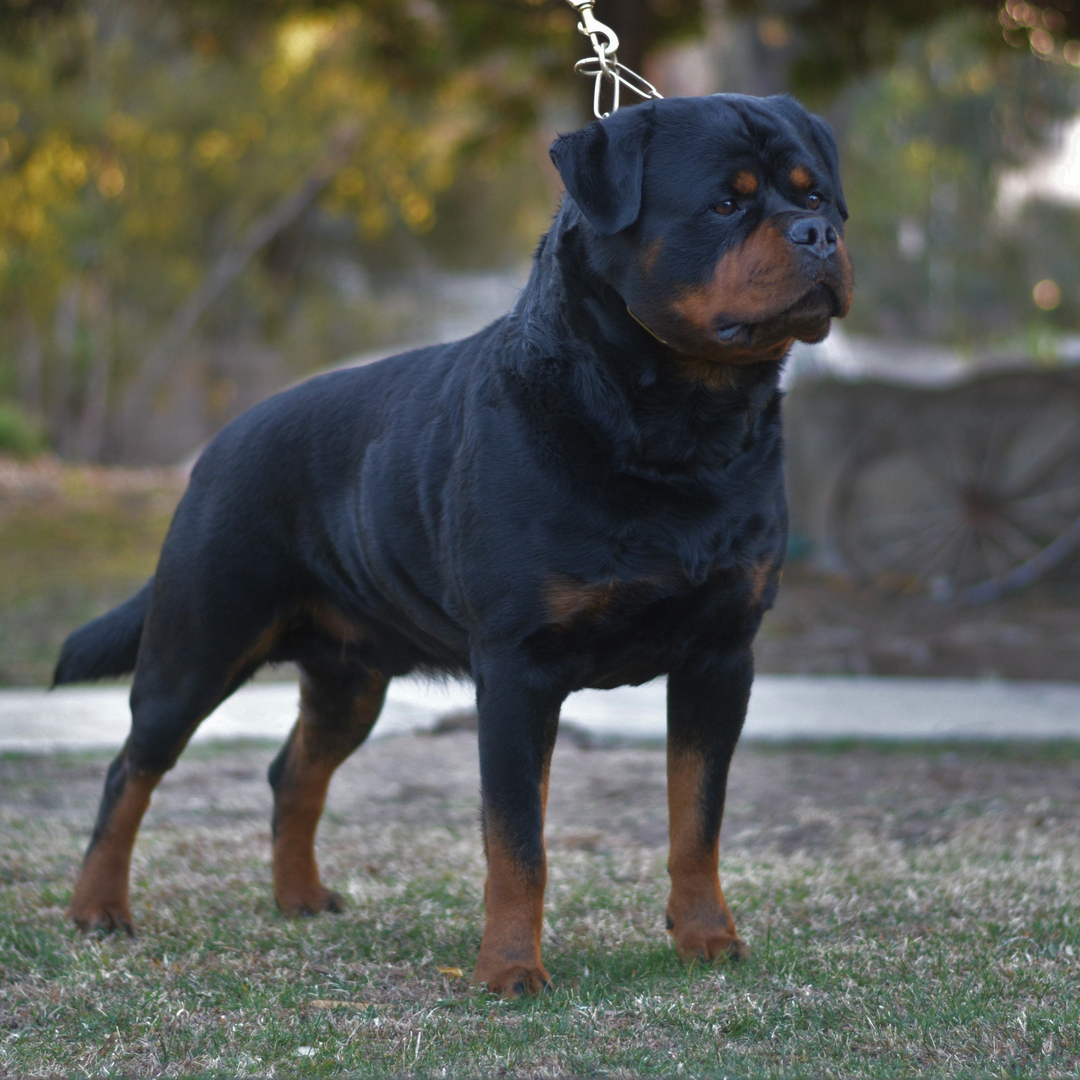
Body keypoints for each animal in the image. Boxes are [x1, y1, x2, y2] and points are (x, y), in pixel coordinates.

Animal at [54, 92, 851, 993]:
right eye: (724, 204)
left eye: (817, 196)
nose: (817, 235)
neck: (679, 429)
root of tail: (219, 443)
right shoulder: (516, 668)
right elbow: (517, 840)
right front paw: (508, 971)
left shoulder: (720, 655)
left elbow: (697, 818)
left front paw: (707, 938)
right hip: (198, 646)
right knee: (132, 768)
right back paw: (98, 908)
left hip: (350, 676)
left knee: (295, 770)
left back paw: (299, 896)